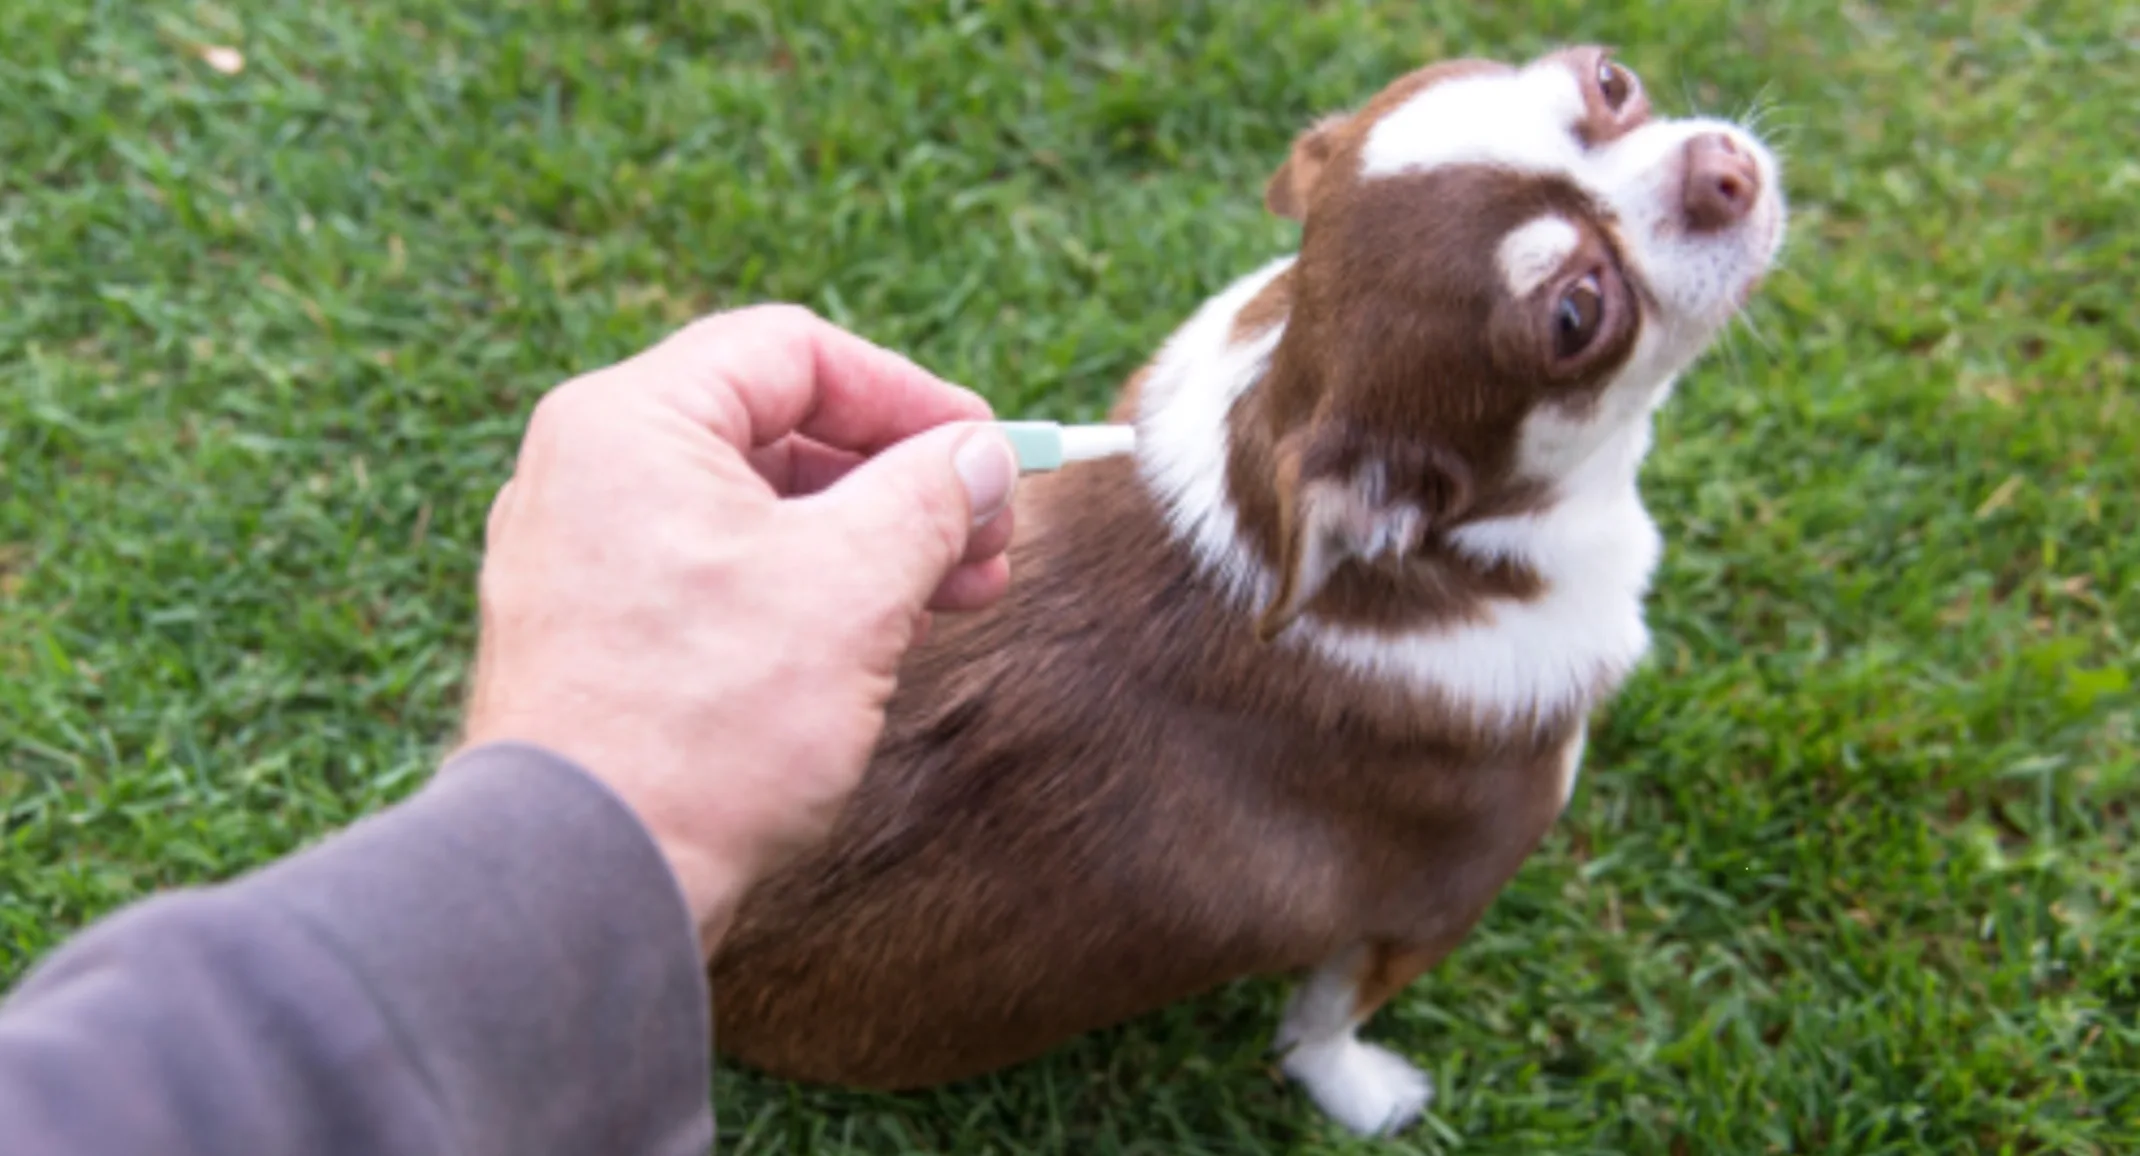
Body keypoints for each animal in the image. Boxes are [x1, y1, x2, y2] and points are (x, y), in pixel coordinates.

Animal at [710, 47, 1780, 1138]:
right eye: (1577, 314)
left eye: (1610, 81)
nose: (1724, 171)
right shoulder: (1430, 903)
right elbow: (1326, 1020)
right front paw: (1363, 1095)